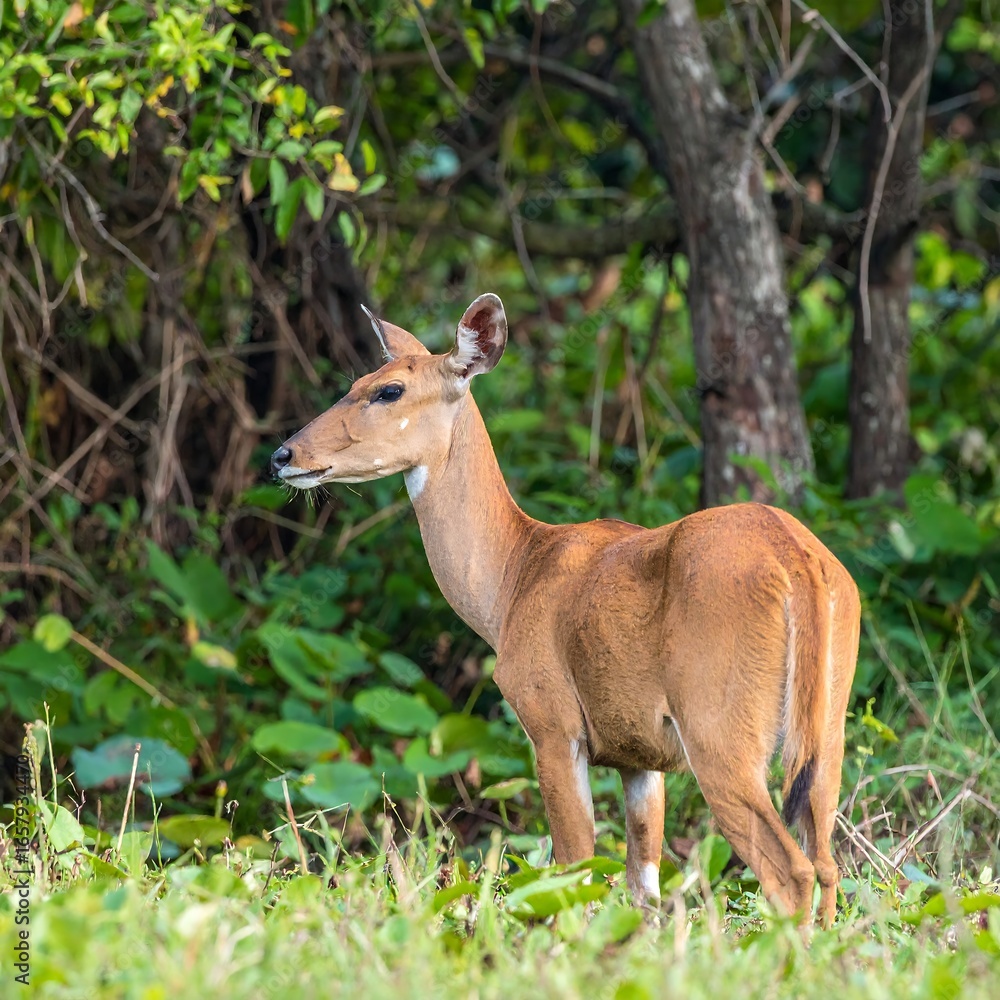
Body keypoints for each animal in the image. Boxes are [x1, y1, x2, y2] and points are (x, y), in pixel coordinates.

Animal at [270, 294, 861, 925]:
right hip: (826, 731)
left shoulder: (551, 721)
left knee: (791, 872)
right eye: (356, 382)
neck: (512, 582)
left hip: (720, 726)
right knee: (827, 864)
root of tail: (798, 563)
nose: (283, 454)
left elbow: (573, 871)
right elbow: (642, 886)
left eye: (388, 391)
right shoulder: (639, 756)